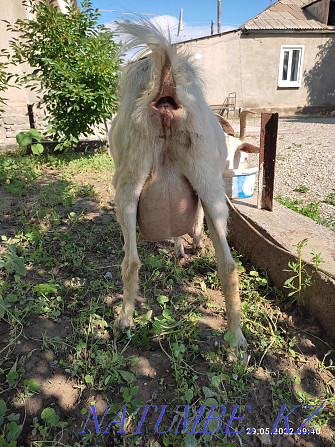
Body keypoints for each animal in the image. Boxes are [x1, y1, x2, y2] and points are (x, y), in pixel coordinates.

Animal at [109, 20, 248, 356]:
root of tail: (166, 92)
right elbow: (189, 224)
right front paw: (187, 247)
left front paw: (181, 249)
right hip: (209, 186)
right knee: (228, 265)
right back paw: (237, 341)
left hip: (129, 183)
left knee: (131, 261)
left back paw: (125, 322)